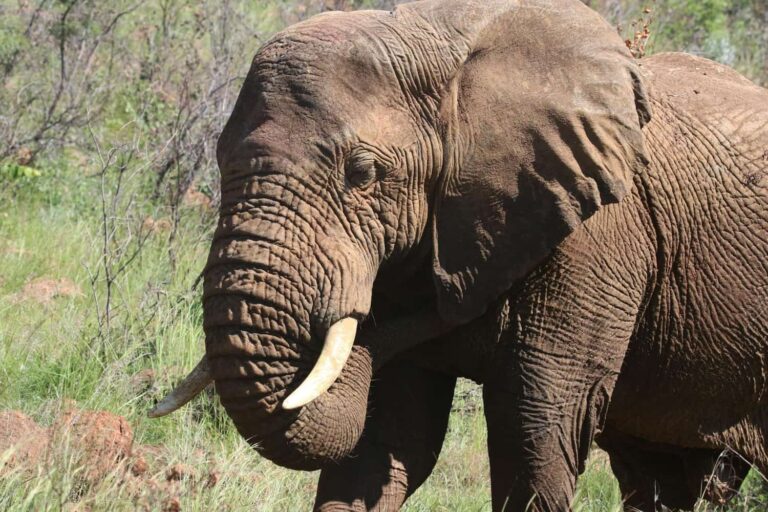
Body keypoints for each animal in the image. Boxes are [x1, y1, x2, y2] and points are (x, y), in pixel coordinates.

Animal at [149, 0, 768, 510]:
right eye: (219, 162)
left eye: (363, 174)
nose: (451, 300)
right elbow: (389, 436)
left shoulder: (598, 239)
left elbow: (538, 425)